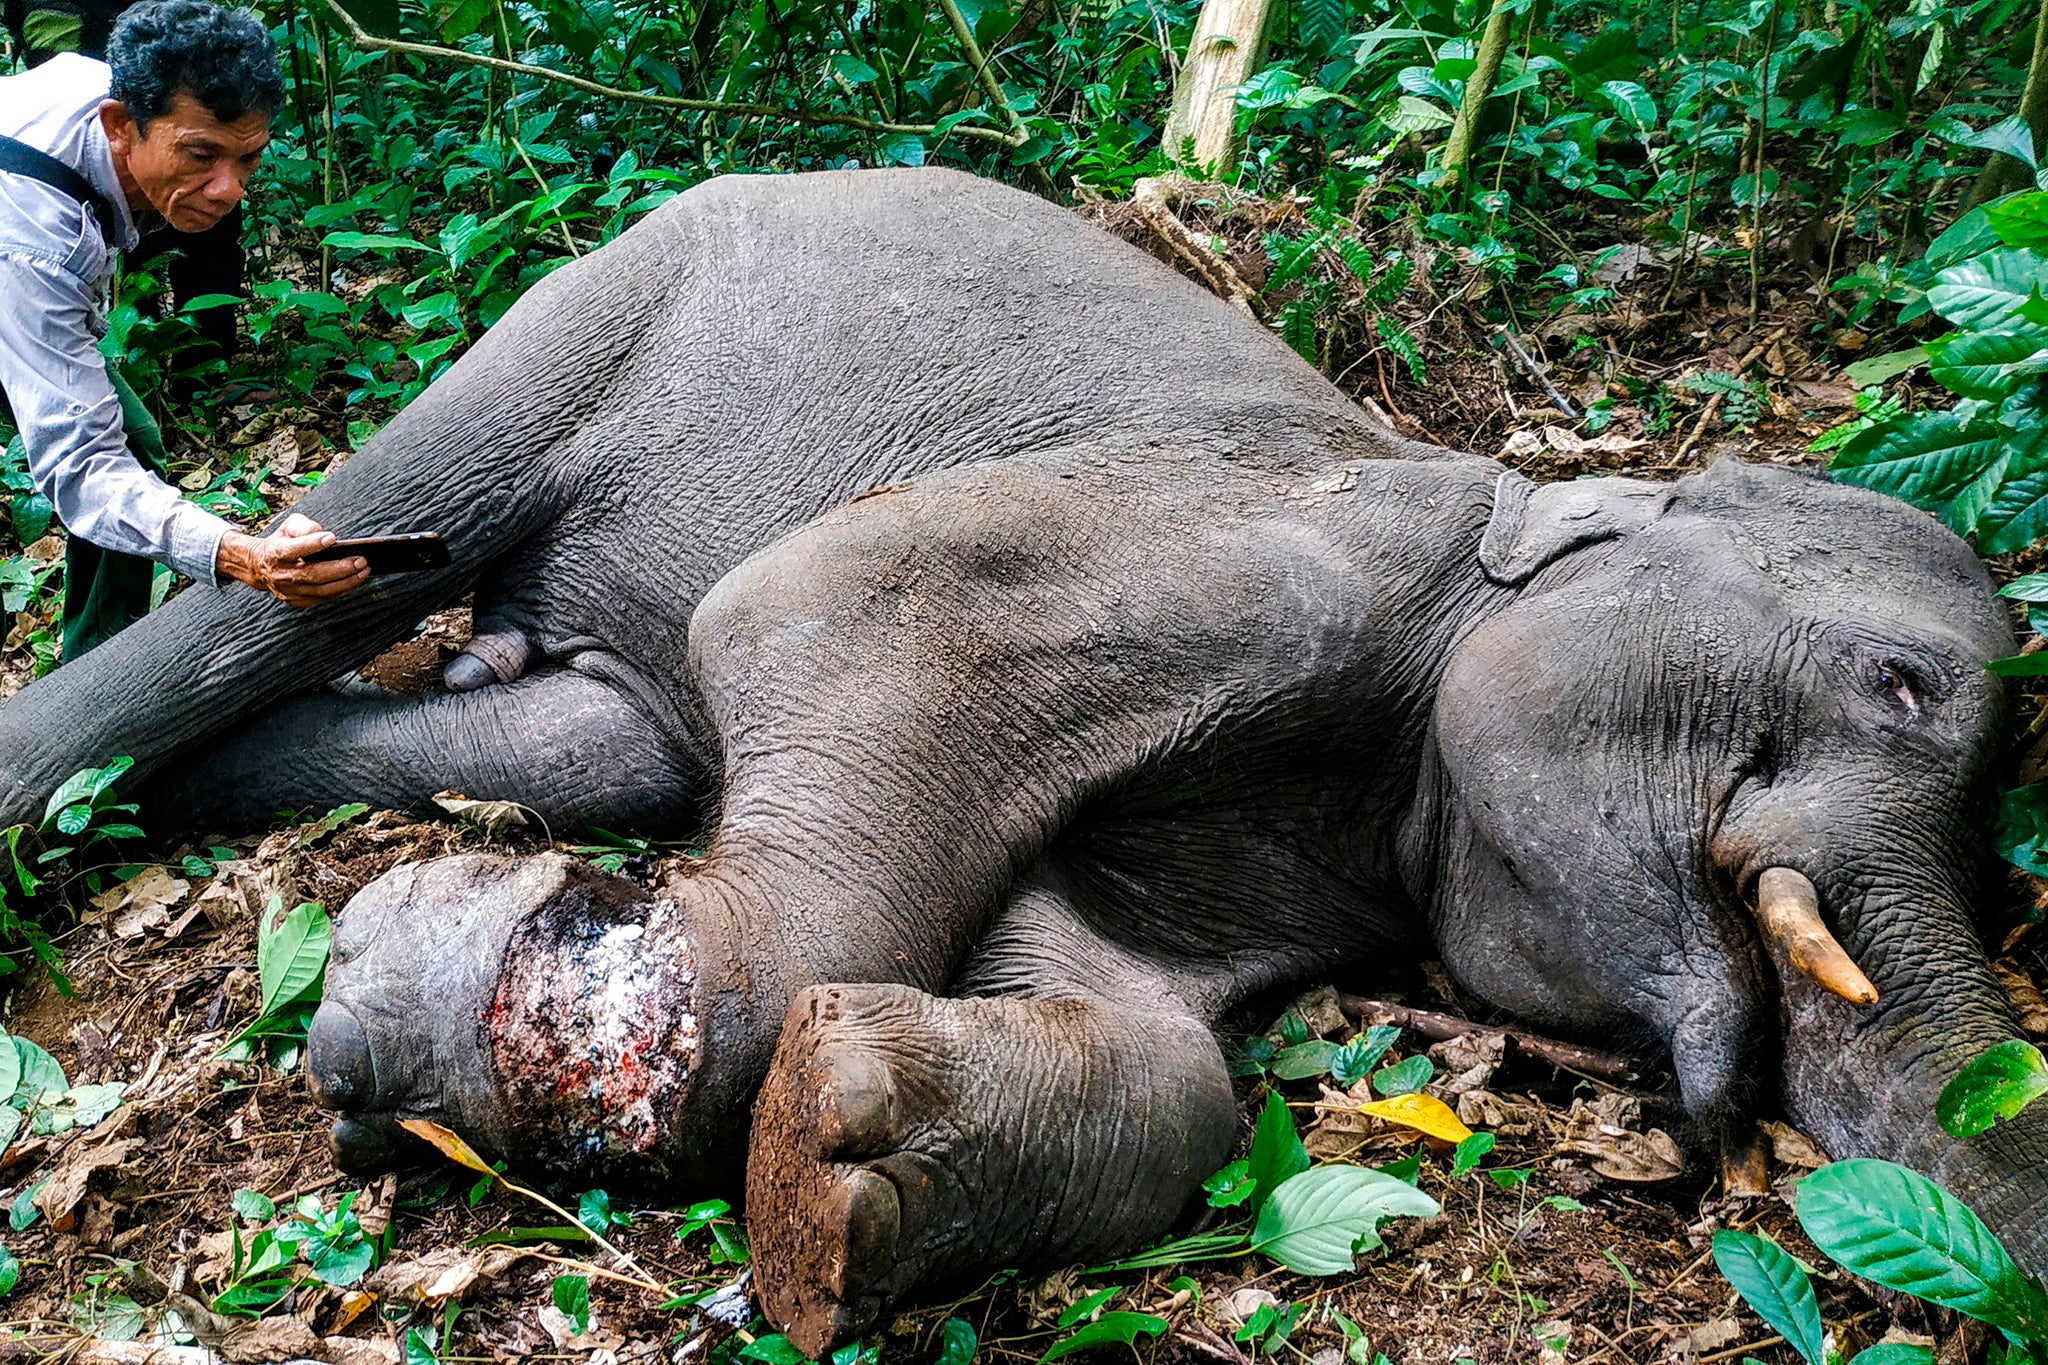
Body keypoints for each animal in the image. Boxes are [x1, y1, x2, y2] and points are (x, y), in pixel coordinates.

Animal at [0, 165, 2039, 1350]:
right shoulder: (1250, 542)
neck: (1496, 502)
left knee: (607, 740)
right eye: (1901, 686)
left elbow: (1147, 1029)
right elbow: (813, 608)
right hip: (587, 317)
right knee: (343, 558)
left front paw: (847, 1161)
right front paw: (400, 991)